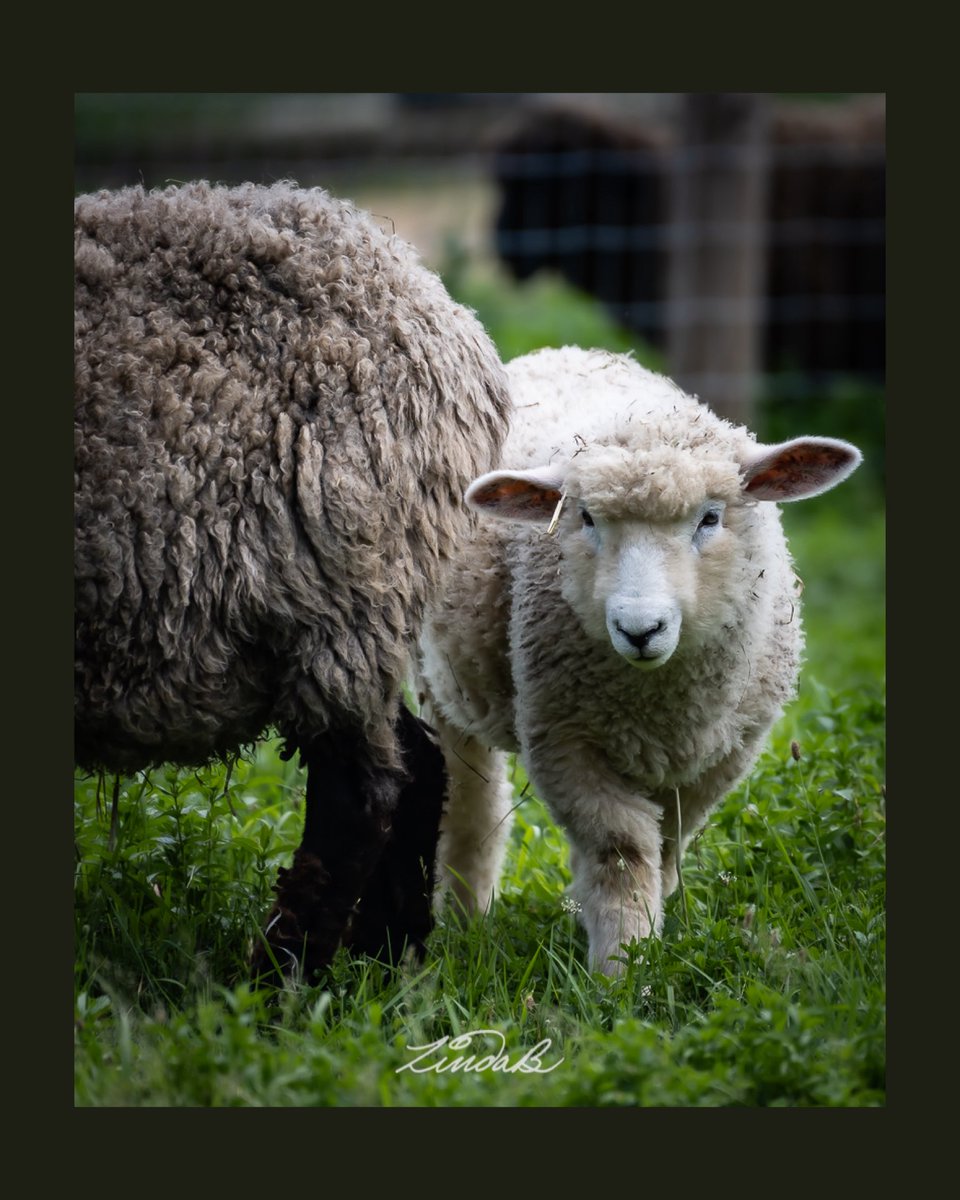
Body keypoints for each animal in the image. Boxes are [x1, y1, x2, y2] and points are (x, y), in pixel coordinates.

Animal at [417, 345, 862, 975]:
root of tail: (563, 351)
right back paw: (463, 916)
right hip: (443, 679)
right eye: (585, 519)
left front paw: (636, 946)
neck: (660, 703)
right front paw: (622, 968)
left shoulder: (724, 752)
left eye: (710, 518)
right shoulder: (562, 739)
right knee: (469, 801)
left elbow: (667, 843)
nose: (640, 628)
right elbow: (621, 848)